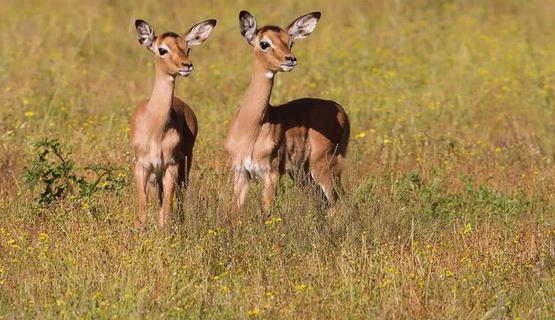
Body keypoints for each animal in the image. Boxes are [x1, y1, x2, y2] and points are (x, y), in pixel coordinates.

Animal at [131, 18, 216, 229]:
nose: (187, 65)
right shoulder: (142, 166)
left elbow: (165, 214)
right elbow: (142, 213)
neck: (155, 127)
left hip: (184, 166)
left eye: (188, 48)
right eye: (162, 49)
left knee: (178, 197)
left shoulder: (171, 165)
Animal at [225, 10, 348, 222]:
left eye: (290, 42)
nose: (290, 59)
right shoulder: (241, 173)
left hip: (322, 165)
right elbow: (235, 214)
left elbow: (267, 213)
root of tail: (341, 111)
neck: (250, 127)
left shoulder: (271, 174)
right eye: (264, 43)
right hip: (304, 173)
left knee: (337, 202)